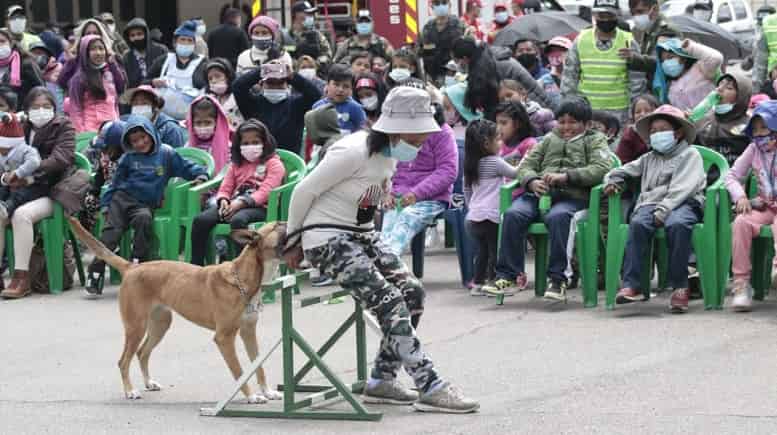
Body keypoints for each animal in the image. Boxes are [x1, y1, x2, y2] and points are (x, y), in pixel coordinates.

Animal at [68, 218, 286, 406]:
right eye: (278, 225)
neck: (243, 279)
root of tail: (132, 267)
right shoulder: (224, 338)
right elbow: (240, 372)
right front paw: (252, 396)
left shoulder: (249, 332)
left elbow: (259, 367)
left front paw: (267, 392)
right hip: (136, 327)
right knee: (123, 361)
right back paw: (130, 391)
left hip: (160, 326)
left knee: (142, 352)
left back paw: (149, 383)